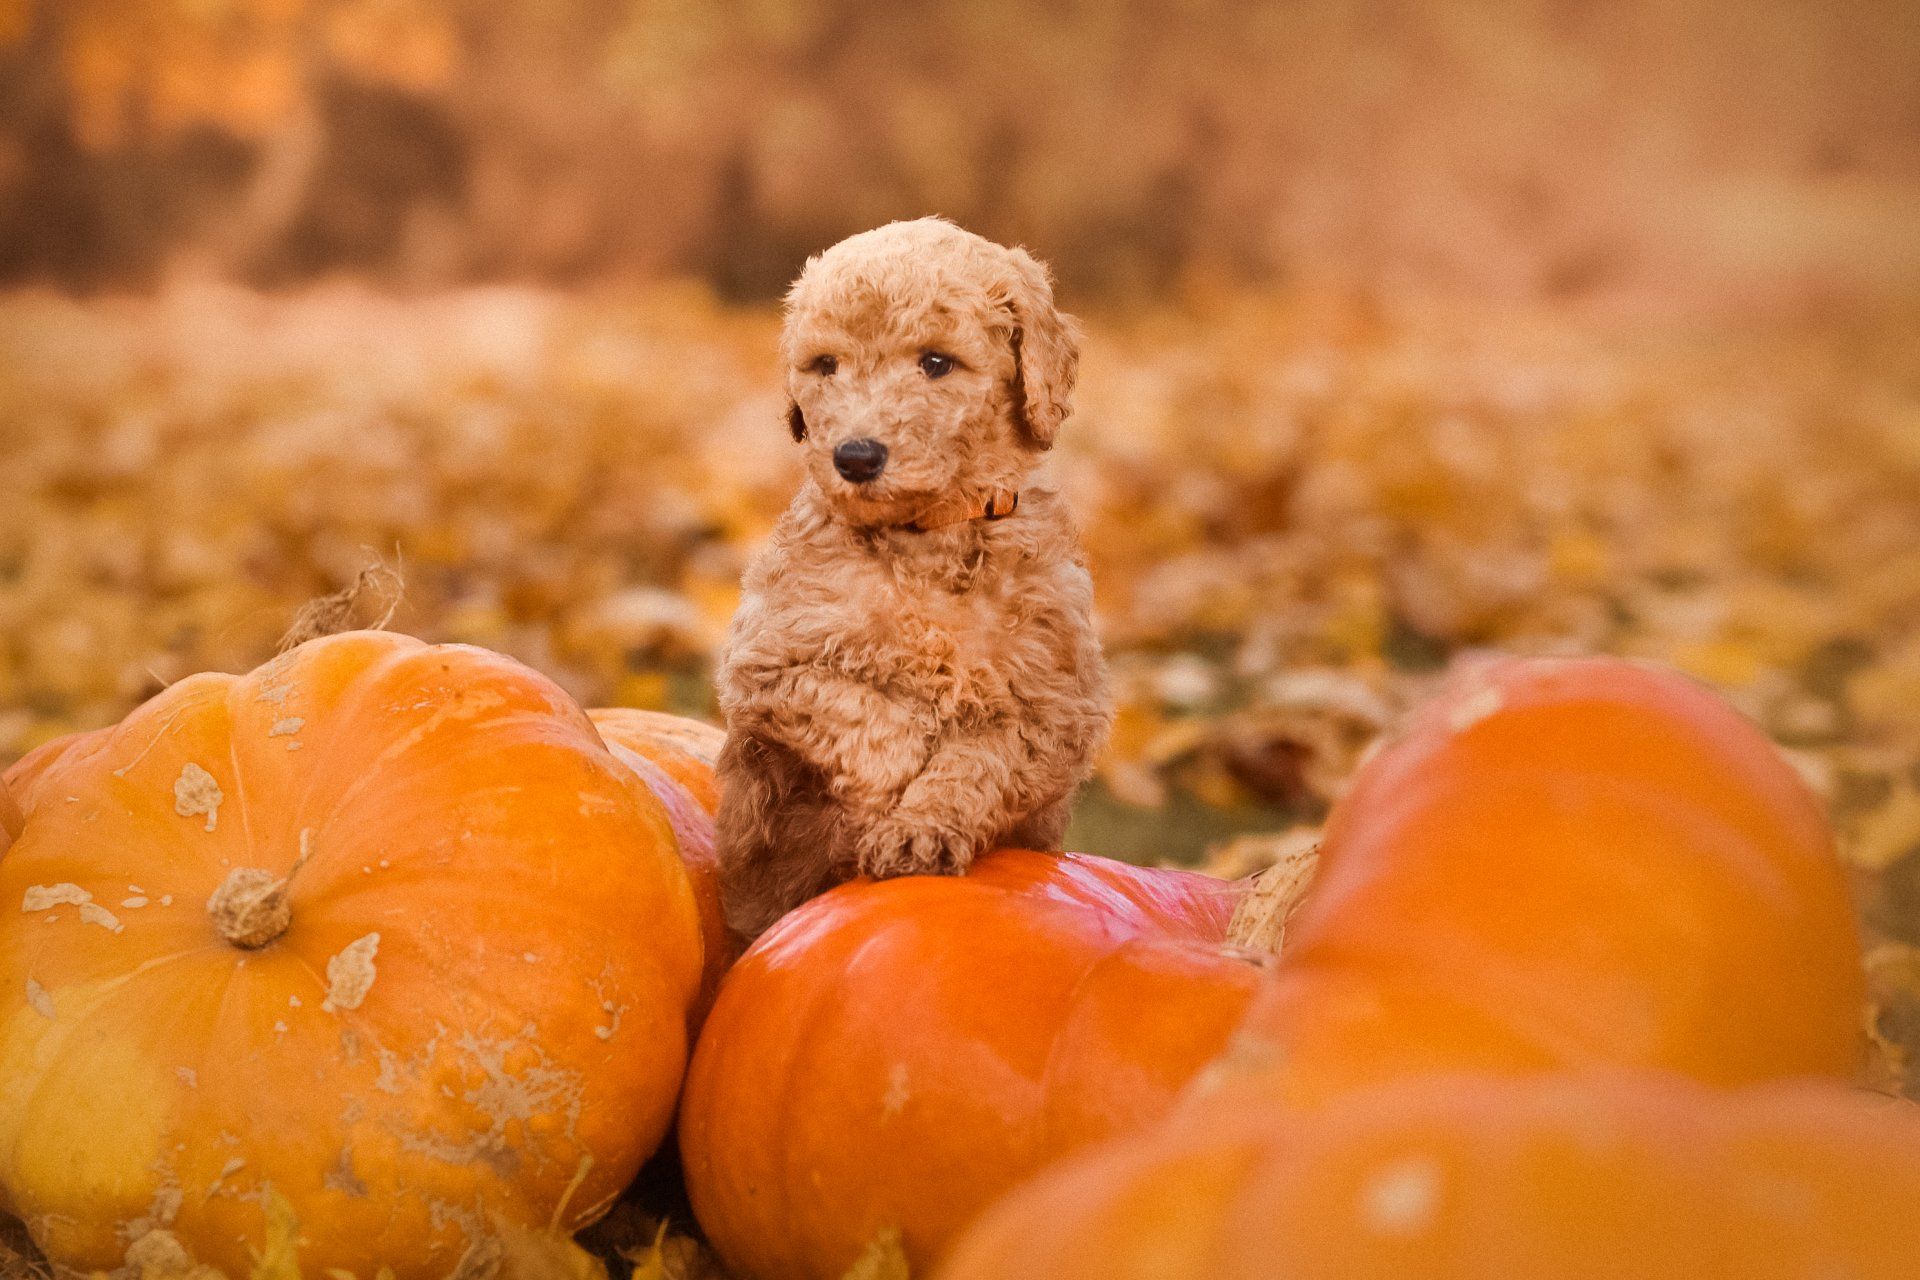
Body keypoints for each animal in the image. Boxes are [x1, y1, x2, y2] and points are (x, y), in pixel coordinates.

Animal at [714, 217, 1121, 940]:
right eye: (826, 365)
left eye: (936, 363)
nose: (854, 457)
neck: (928, 535)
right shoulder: (767, 663)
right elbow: (856, 707)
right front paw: (891, 785)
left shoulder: (1054, 706)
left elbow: (980, 757)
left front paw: (917, 830)